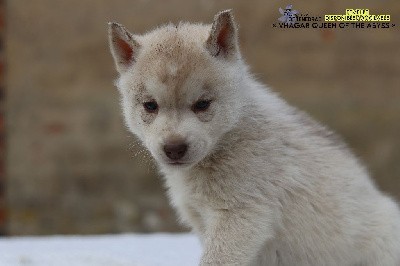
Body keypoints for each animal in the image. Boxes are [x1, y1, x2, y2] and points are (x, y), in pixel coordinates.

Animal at [107, 9, 400, 264]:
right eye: (150, 106)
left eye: (202, 104)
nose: (174, 148)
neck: (231, 137)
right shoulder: (204, 222)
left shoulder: (241, 217)